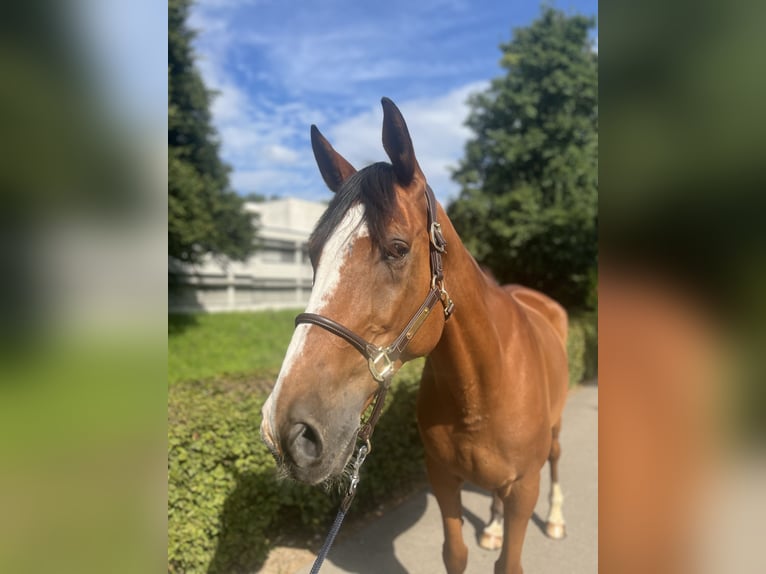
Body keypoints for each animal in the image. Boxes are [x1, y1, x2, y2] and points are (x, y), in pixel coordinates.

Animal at [264, 99, 568, 574]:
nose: (288, 430)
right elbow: (455, 554)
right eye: (312, 254)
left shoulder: (524, 488)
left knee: (556, 458)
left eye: (398, 248)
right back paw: (493, 526)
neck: (483, 390)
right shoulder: (442, 478)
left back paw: (554, 519)